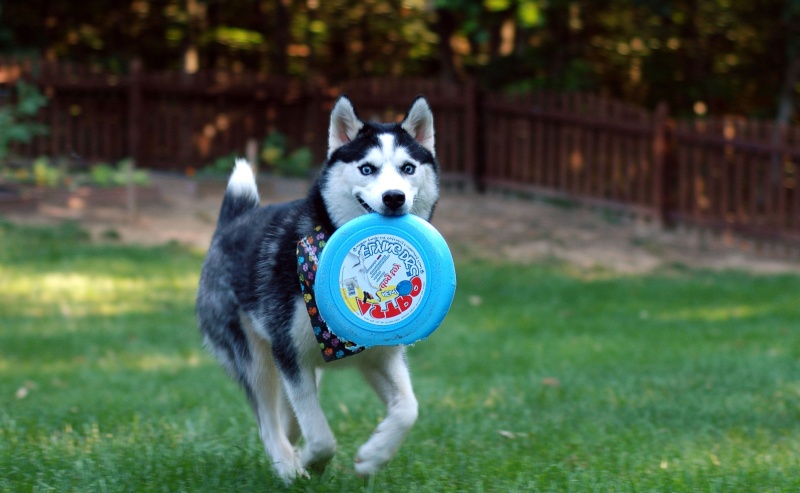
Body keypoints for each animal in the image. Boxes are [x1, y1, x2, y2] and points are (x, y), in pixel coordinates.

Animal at [198, 95, 440, 480]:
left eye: (408, 168)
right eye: (367, 169)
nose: (394, 197)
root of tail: (231, 223)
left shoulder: (379, 355)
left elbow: (408, 409)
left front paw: (373, 456)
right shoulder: (290, 352)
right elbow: (321, 434)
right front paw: (313, 459)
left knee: (287, 416)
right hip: (253, 357)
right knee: (268, 421)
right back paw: (287, 465)